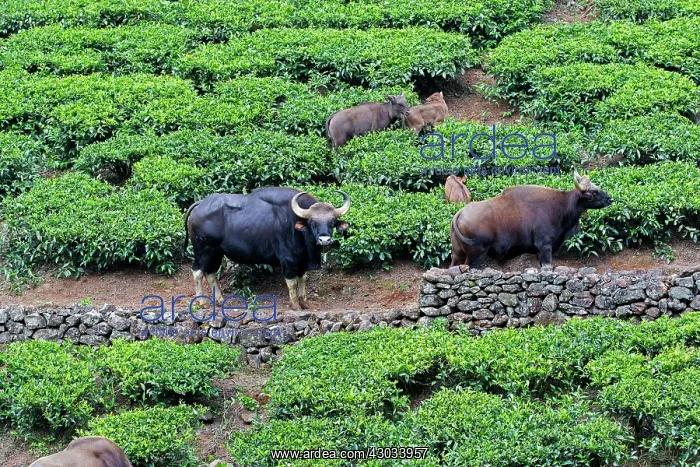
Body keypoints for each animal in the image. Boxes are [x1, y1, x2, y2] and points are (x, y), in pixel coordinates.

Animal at [184, 187, 350, 310]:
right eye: (312, 222)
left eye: (332, 222)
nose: (324, 239)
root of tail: (200, 204)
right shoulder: (287, 259)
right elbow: (292, 282)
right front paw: (295, 305)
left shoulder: (302, 261)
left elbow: (303, 279)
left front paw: (304, 302)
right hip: (203, 250)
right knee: (197, 272)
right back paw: (202, 302)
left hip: (216, 252)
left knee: (210, 274)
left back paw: (219, 300)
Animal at [450, 171, 613, 269]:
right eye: (593, 192)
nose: (610, 199)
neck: (559, 206)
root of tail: (460, 213)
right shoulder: (545, 247)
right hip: (476, 255)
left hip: (458, 253)